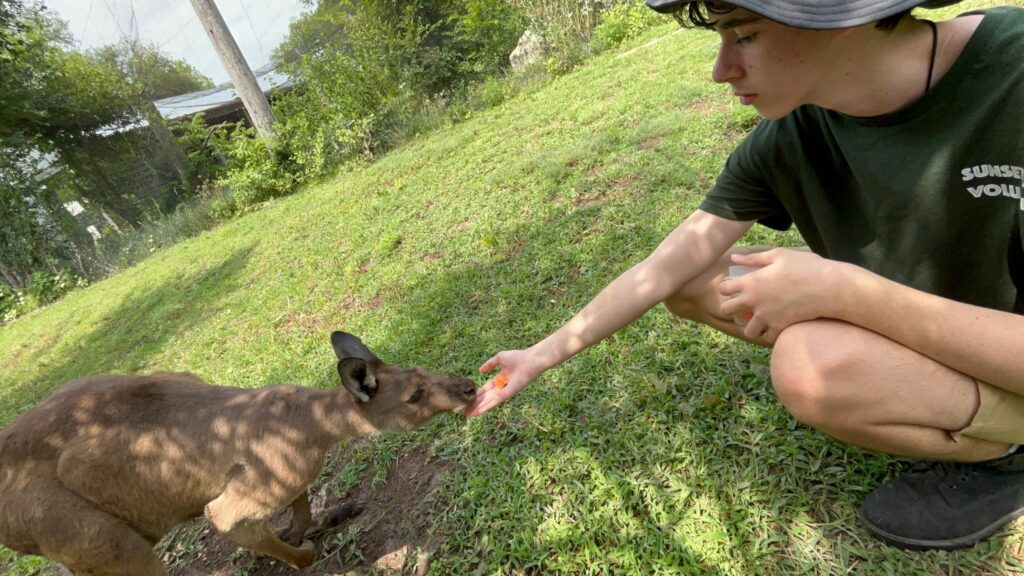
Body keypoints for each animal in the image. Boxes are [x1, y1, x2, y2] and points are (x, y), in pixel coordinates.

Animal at [0, 331, 477, 575]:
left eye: (423, 372)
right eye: (415, 397)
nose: (469, 388)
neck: (311, 420)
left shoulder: (285, 472)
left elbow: (298, 505)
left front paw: (299, 530)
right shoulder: (248, 490)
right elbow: (232, 520)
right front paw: (303, 553)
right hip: (87, 531)